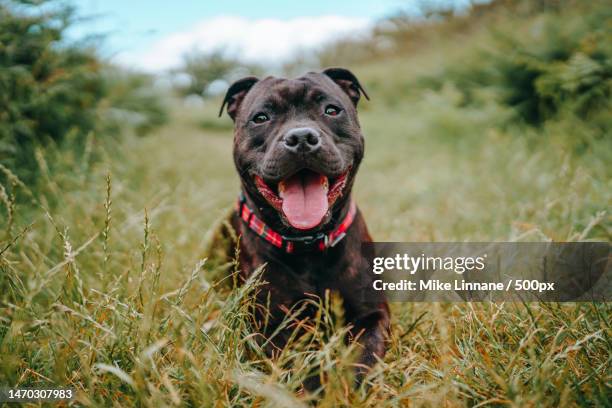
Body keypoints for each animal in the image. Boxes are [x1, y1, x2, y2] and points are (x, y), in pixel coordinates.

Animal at [220, 67, 390, 386]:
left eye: (332, 110)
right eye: (261, 117)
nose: (300, 137)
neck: (307, 244)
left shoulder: (373, 314)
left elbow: (364, 355)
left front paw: (348, 385)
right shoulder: (268, 326)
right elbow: (298, 360)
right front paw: (315, 386)